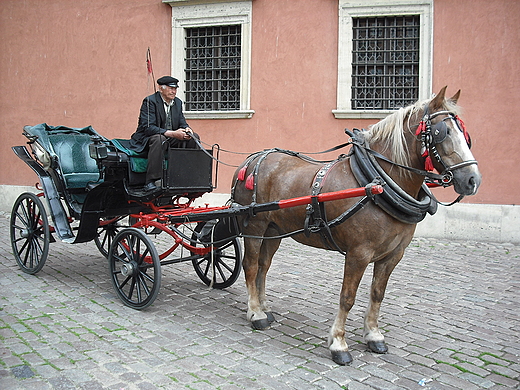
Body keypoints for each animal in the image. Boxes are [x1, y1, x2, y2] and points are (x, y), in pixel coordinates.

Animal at [232, 87, 484, 364]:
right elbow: (347, 297)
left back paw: (264, 307)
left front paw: (373, 335)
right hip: (255, 227)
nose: (472, 180)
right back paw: (255, 313)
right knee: (251, 266)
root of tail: (251, 160)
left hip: (274, 230)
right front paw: (339, 344)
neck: (377, 183)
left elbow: (377, 294)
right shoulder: (358, 254)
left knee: (264, 267)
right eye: (443, 132)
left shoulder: (393, 254)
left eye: (466, 135)